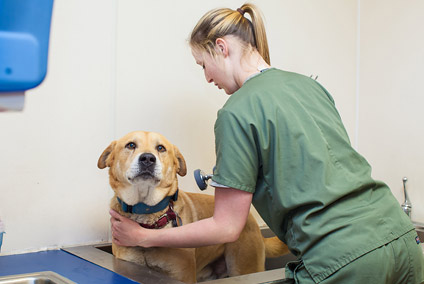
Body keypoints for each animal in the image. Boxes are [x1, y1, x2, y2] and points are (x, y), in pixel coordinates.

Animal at [97, 131, 288, 284]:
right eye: (131, 145)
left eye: (160, 148)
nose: (148, 158)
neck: (147, 216)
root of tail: (253, 222)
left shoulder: (182, 275)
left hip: (244, 267)